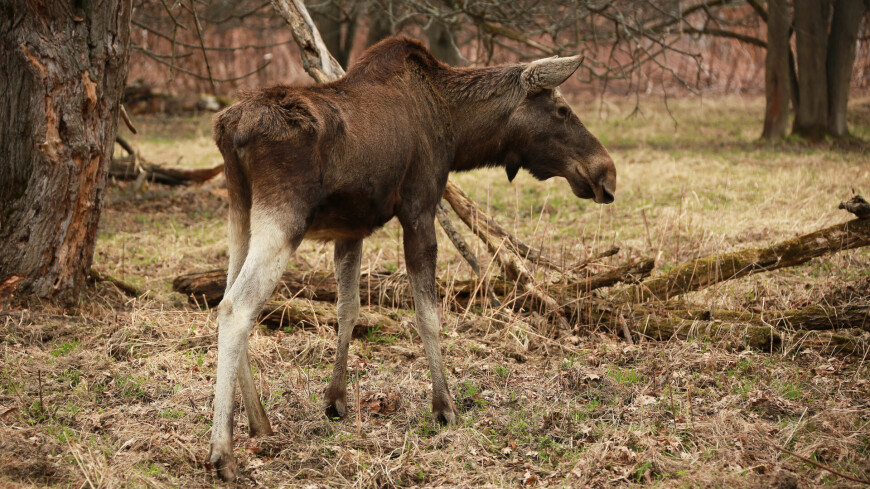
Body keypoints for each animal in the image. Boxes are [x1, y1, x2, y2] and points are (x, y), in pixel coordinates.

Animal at [209, 36, 620, 478]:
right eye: (562, 110)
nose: (606, 172)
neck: (458, 131)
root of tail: (229, 129)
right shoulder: (420, 207)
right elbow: (427, 315)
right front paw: (444, 406)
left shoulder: (350, 228)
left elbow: (348, 309)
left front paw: (335, 399)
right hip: (285, 215)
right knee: (237, 307)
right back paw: (223, 452)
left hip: (240, 211)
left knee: (226, 296)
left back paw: (260, 423)